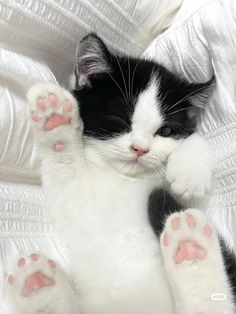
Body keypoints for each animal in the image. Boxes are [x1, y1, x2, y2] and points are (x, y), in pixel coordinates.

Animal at [5, 33, 236, 312]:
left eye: (165, 131)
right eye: (119, 119)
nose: (140, 149)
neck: (122, 177)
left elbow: (195, 140)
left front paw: (189, 174)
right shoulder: (74, 194)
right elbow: (63, 167)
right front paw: (54, 116)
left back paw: (189, 243)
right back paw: (37, 284)